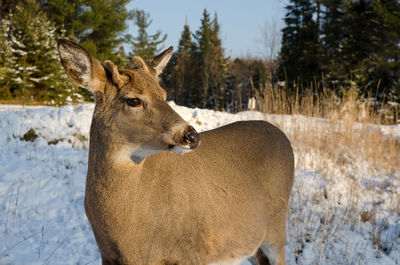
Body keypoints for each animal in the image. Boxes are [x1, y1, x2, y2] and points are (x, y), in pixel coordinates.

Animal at [57, 37, 294, 264]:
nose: (192, 136)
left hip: (276, 226)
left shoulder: (193, 251)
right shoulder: (107, 256)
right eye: (133, 100)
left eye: (163, 94)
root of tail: (281, 135)